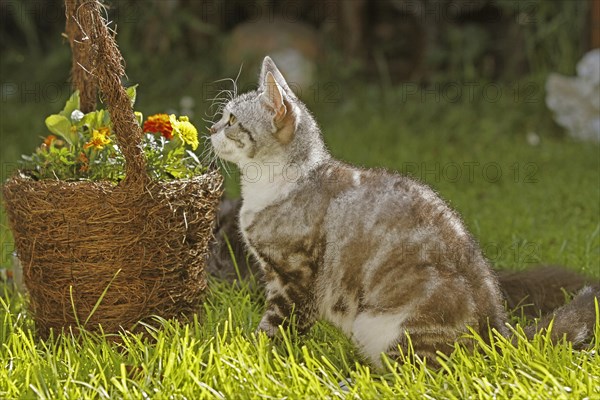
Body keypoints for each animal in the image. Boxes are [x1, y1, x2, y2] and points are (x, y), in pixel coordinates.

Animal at [207, 57, 600, 368]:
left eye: (231, 121)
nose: (211, 128)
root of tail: (497, 331)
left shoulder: (294, 280)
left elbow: (275, 328)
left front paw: (250, 356)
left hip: (387, 322)